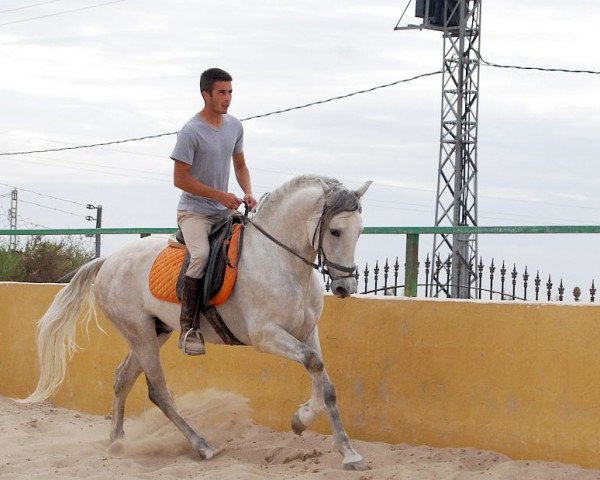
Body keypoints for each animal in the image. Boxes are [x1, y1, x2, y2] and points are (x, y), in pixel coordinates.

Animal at [21, 174, 370, 470]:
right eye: (335, 231)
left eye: (360, 232)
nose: (345, 287)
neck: (281, 261)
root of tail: (108, 261)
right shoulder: (266, 335)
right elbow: (313, 364)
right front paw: (307, 420)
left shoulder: (307, 332)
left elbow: (324, 380)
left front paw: (342, 448)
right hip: (140, 333)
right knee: (158, 392)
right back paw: (203, 446)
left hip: (154, 331)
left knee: (123, 378)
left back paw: (118, 442)